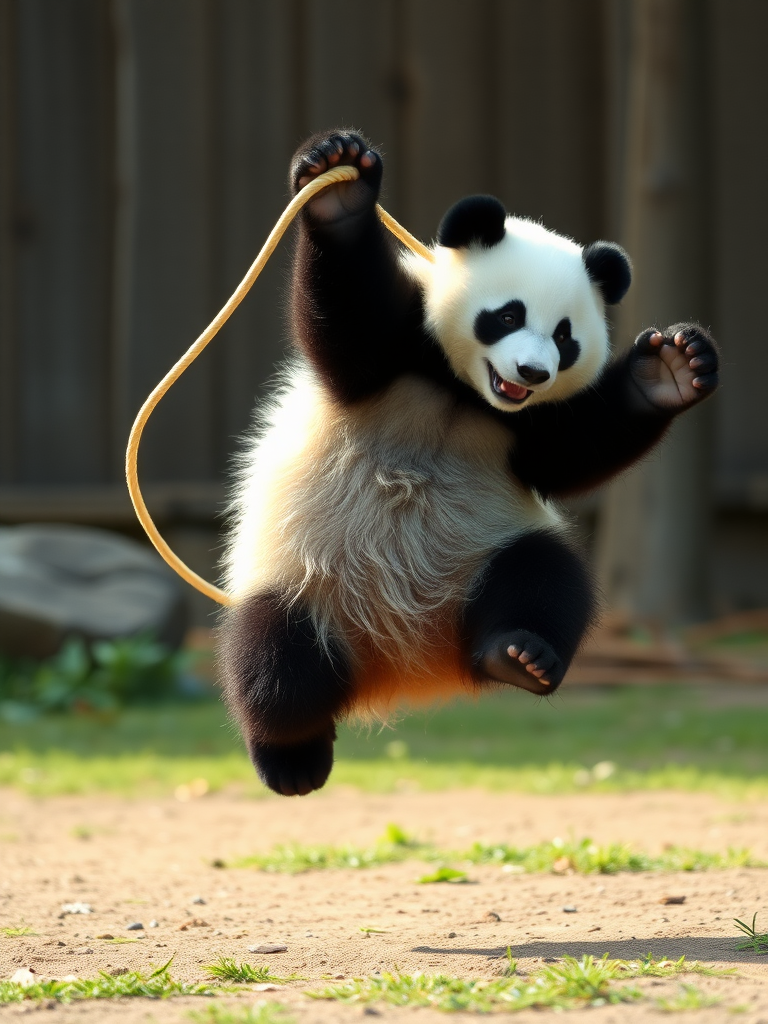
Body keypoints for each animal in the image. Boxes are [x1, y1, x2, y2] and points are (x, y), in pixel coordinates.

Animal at [218, 130, 720, 798]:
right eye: (508, 315)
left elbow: (573, 453)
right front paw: (340, 187)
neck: (464, 394)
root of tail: (402, 666)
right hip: (303, 574)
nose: (532, 372)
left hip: (483, 555)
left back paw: (519, 655)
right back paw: (293, 760)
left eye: (565, 337)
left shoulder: (523, 427)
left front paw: (670, 369)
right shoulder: (400, 352)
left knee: (545, 575)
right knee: (277, 663)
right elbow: (350, 322)